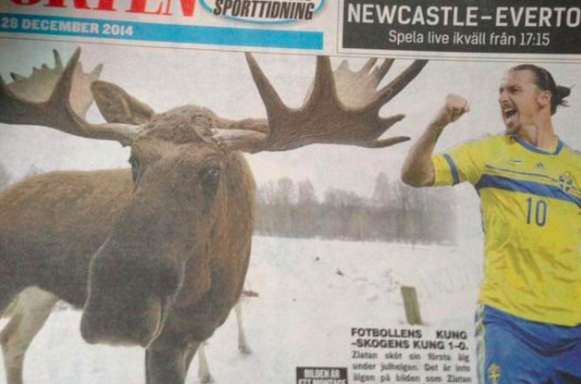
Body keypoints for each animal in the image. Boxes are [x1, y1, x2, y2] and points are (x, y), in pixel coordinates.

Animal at [0, 48, 426, 384]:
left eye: (212, 171)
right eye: (133, 159)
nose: (118, 306)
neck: (209, 284)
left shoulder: (191, 333)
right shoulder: (166, 338)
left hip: (39, 292)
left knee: (14, 340)